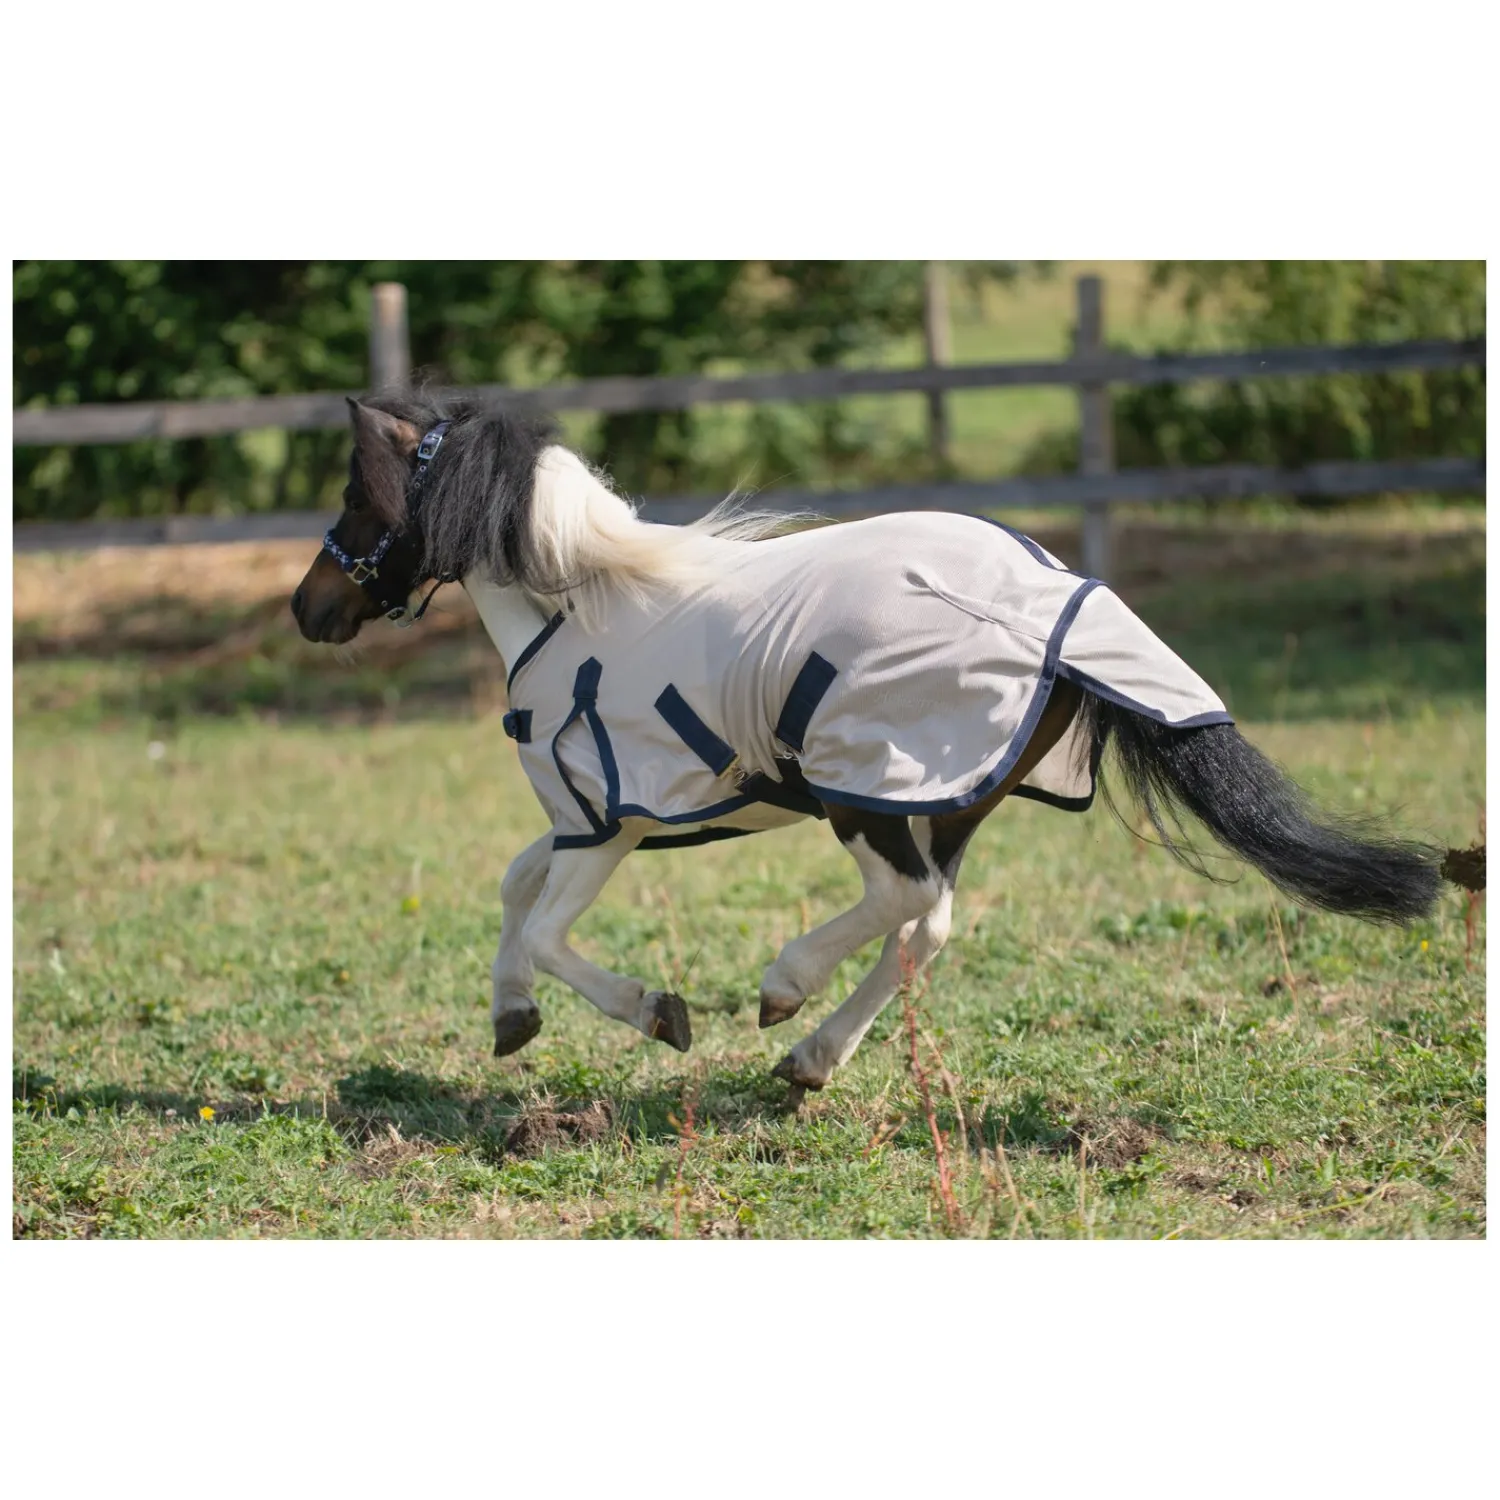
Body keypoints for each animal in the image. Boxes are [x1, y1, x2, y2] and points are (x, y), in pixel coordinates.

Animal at [292, 394, 1483, 1100]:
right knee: (928, 925)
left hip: (868, 792)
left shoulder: (611, 819)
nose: (308, 608)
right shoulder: (589, 821)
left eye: (357, 492)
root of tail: (1061, 607)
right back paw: (808, 1058)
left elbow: (542, 927)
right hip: (941, 804)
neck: (581, 607)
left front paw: (660, 1013)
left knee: (901, 905)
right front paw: (510, 1021)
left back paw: (784, 988)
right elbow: (511, 890)